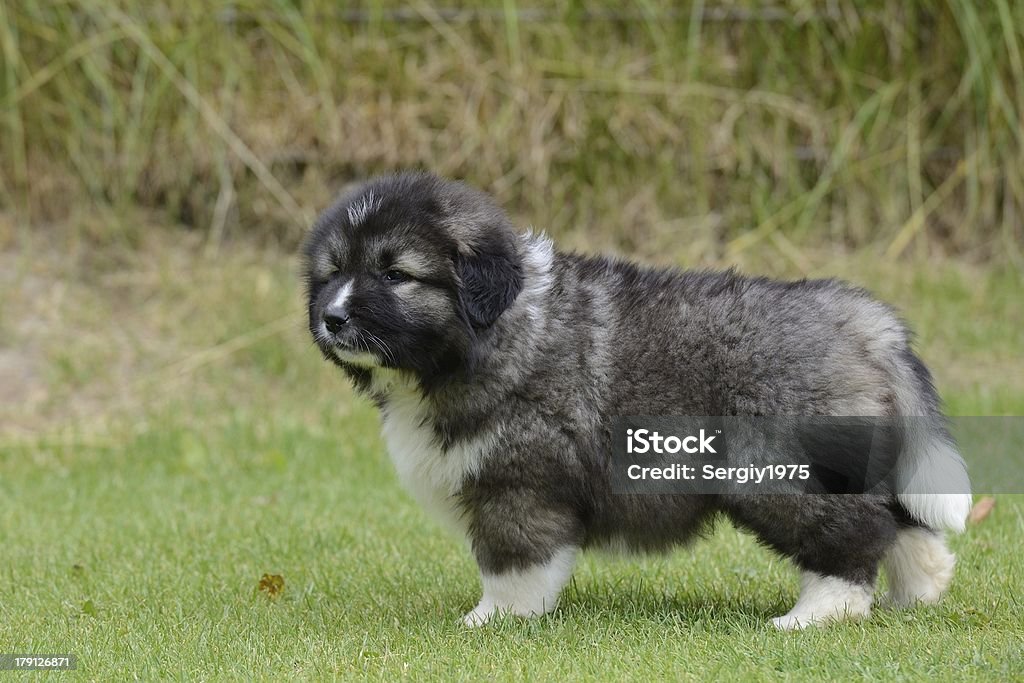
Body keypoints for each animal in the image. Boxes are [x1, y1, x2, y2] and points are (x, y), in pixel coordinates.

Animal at [301, 172, 966, 630]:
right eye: (332, 273)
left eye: (395, 275)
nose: (332, 319)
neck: (495, 331)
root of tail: (863, 320)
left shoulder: (519, 482)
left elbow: (512, 562)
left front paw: (493, 620)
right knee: (900, 520)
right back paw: (919, 592)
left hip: (777, 471)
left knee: (853, 532)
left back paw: (815, 615)